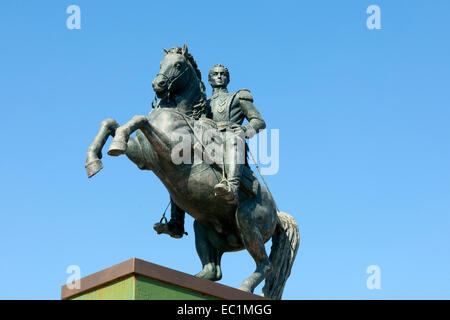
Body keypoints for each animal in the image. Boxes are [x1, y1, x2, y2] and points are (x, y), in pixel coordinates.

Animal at [86, 43, 300, 298]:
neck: (176, 113)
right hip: (205, 226)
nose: (158, 84)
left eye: (178, 65)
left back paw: (245, 285)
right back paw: (194, 277)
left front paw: (114, 144)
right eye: (161, 63)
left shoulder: (169, 150)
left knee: (265, 265)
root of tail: (277, 215)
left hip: (248, 224)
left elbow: (139, 120)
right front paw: (94, 160)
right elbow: (111, 122)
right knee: (214, 271)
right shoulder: (143, 158)